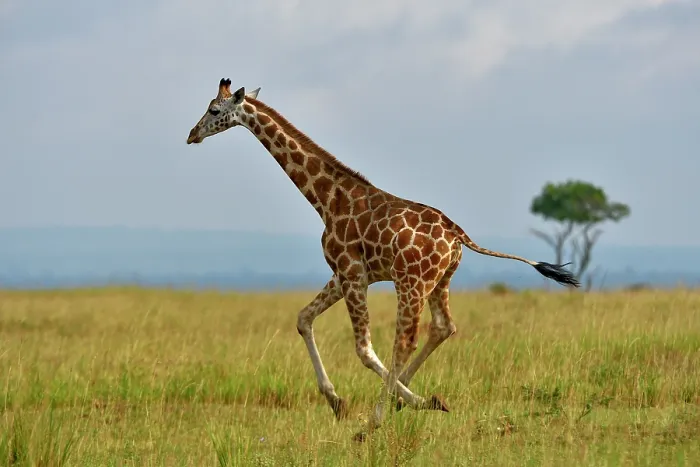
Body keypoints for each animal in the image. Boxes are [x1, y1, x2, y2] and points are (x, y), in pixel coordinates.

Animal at [186, 78, 580, 440]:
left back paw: (379, 419)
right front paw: (339, 402)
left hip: (411, 283)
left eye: (214, 110)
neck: (326, 199)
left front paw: (395, 406)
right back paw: (400, 399)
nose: (192, 135)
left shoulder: (350, 272)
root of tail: (458, 235)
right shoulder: (347, 274)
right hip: (440, 281)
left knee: (406, 340)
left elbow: (363, 349)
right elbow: (303, 319)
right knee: (443, 327)